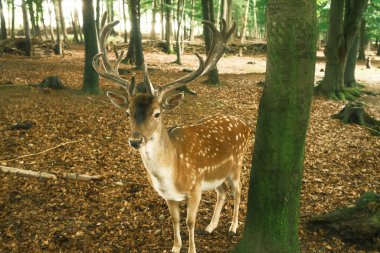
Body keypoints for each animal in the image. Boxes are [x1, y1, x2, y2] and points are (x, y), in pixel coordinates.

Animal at [93, 17, 251, 253]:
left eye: (157, 113)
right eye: (128, 113)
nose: (135, 140)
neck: (171, 173)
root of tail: (246, 125)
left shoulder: (195, 187)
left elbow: (190, 221)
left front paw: (192, 249)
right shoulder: (168, 195)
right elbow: (175, 220)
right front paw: (175, 247)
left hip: (237, 163)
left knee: (238, 190)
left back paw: (232, 227)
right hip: (218, 174)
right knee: (221, 191)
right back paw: (211, 226)